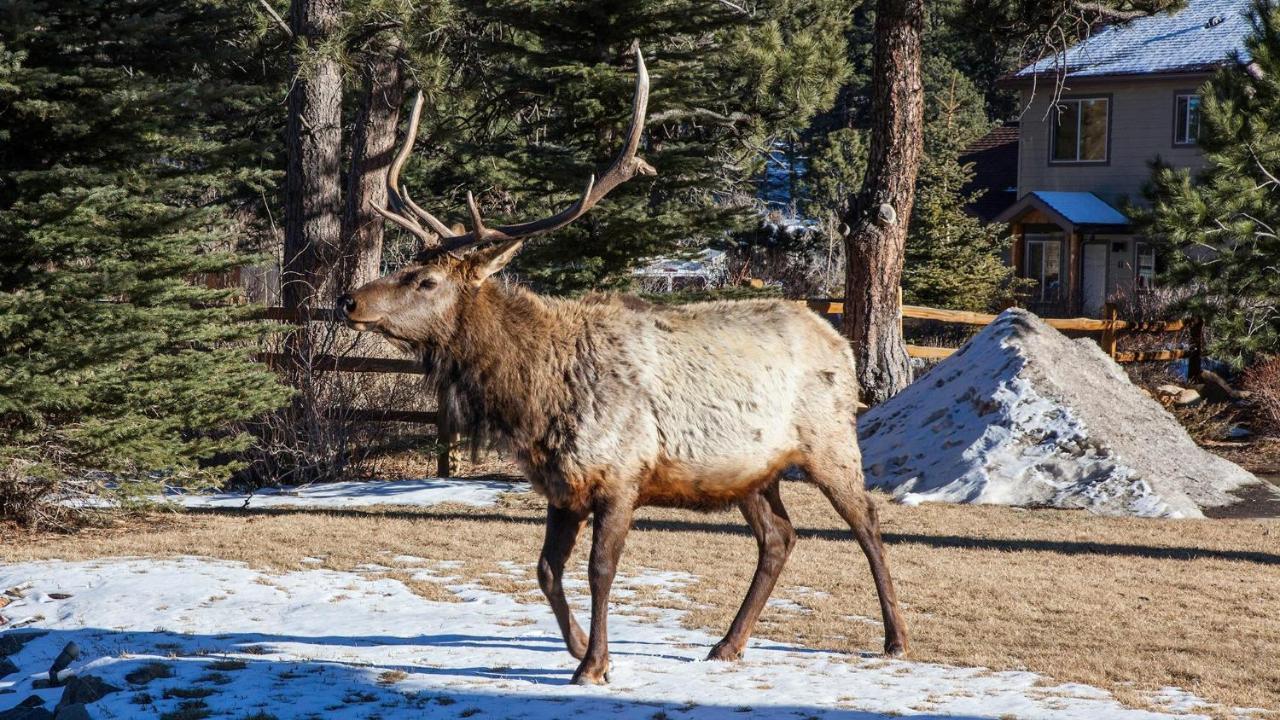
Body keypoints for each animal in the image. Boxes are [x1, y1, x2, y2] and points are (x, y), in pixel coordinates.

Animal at [335, 47, 906, 681]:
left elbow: (600, 571)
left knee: (868, 523)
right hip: (750, 470)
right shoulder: (563, 486)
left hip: (831, 441)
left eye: (427, 280)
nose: (349, 299)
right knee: (780, 538)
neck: (533, 403)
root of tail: (841, 341)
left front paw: (594, 664)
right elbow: (545, 570)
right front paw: (579, 645)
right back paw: (728, 643)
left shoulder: (621, 476)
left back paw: (894, 638)